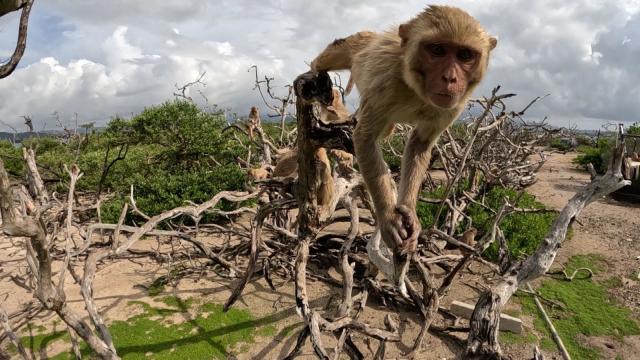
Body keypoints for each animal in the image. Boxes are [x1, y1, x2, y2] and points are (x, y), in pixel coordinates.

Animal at [312, 7, 498, 258]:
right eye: (437, 50)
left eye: (465, 55)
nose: (450, 78)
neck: (417, 88)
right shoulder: (386, 81)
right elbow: (365, 138)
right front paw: (388, 218)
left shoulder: (455, 105)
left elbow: (420, 143)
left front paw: (409, 211)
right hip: (358, 43)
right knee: (336, 51)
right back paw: (314, 68)